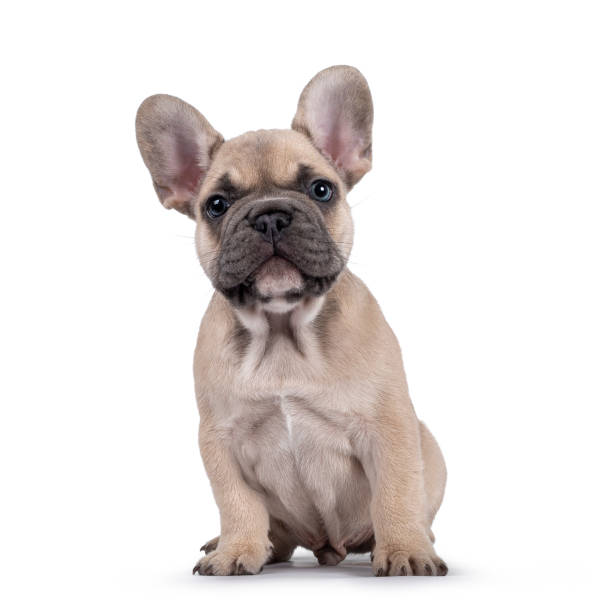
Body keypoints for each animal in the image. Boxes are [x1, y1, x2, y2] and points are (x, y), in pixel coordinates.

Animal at [136, 64, 448, 576]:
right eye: (216, 205)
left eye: (321, 189)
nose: (269, 216)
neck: (282, 329)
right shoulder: (219, 440)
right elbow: (237, 501)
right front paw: (237, 549)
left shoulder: (390, 426)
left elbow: (396, 490)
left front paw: (405, 548)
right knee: (275, 535)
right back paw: (239, 544)